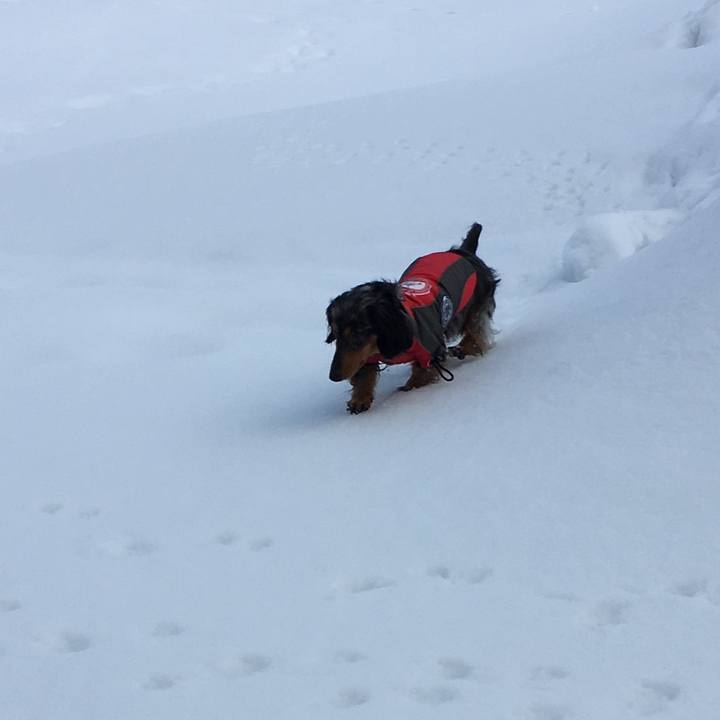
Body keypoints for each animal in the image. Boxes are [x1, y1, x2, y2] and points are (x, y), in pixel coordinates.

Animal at [326, 222, 499, 413]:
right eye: (336, 336)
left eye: (357, 334)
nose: (334, 376)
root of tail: (463, 252)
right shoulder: (364, 356)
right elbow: (364, 375)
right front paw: (360, 400)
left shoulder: (430, 351)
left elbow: (421, 376)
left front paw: (409, 390)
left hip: (474, 308)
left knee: (477, 335)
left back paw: (461, 348)